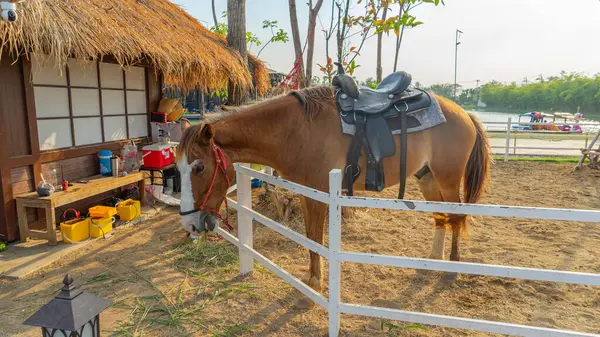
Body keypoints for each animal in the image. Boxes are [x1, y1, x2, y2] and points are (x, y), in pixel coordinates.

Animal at [176, 85, 490, 300]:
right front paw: (312, 279)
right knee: (441, 217)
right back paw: (433, 260)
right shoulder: (307, 192)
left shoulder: (320, 191)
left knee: (456, 217)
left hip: (448, 180)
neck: (297, 130)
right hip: (427, 179)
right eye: (177, 167)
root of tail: (465, 113)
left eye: (199, 167)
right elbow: (310, 237)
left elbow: (316, 238)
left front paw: (315, 284)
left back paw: (452, 266)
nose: (190, 224)